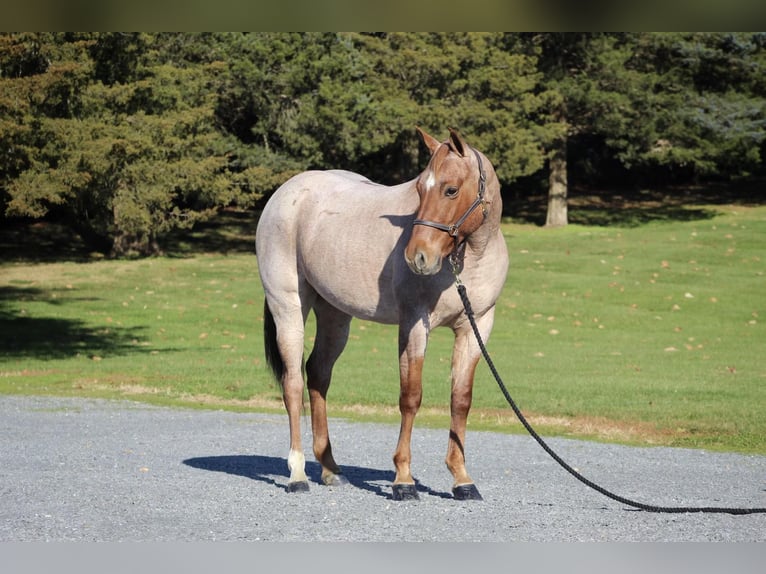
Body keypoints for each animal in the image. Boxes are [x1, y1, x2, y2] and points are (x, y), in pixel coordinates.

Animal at [256, 128, 510, 502]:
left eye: (450, 189)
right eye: (419, 189)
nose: (418, 257)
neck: (469, 260)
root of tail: (285, 193)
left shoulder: (476, 327)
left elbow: (460, 400)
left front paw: (462, 480)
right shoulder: (414, 324)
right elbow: (411, 397)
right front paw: (403, 480)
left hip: (335, 315)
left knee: (317, 374)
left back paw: (330, 469)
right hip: (288, 308)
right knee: (292, 385)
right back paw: (298, 474)